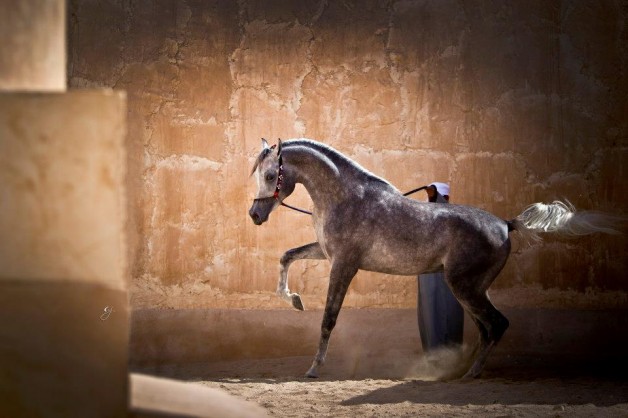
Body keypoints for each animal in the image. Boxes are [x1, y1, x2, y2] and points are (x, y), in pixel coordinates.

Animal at [248, 138, 619, 379]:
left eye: (269, 175)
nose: (255, 215)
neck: (345, 197)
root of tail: (506, 224)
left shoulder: (344, 265)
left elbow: (328, 318)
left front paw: (313, 368)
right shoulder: (327, 254)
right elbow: (287, 256)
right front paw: (294, 300)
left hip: (462, 286)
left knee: (497, 324)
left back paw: (469, 373)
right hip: (474, 288)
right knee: (486, 328)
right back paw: (461, 368)